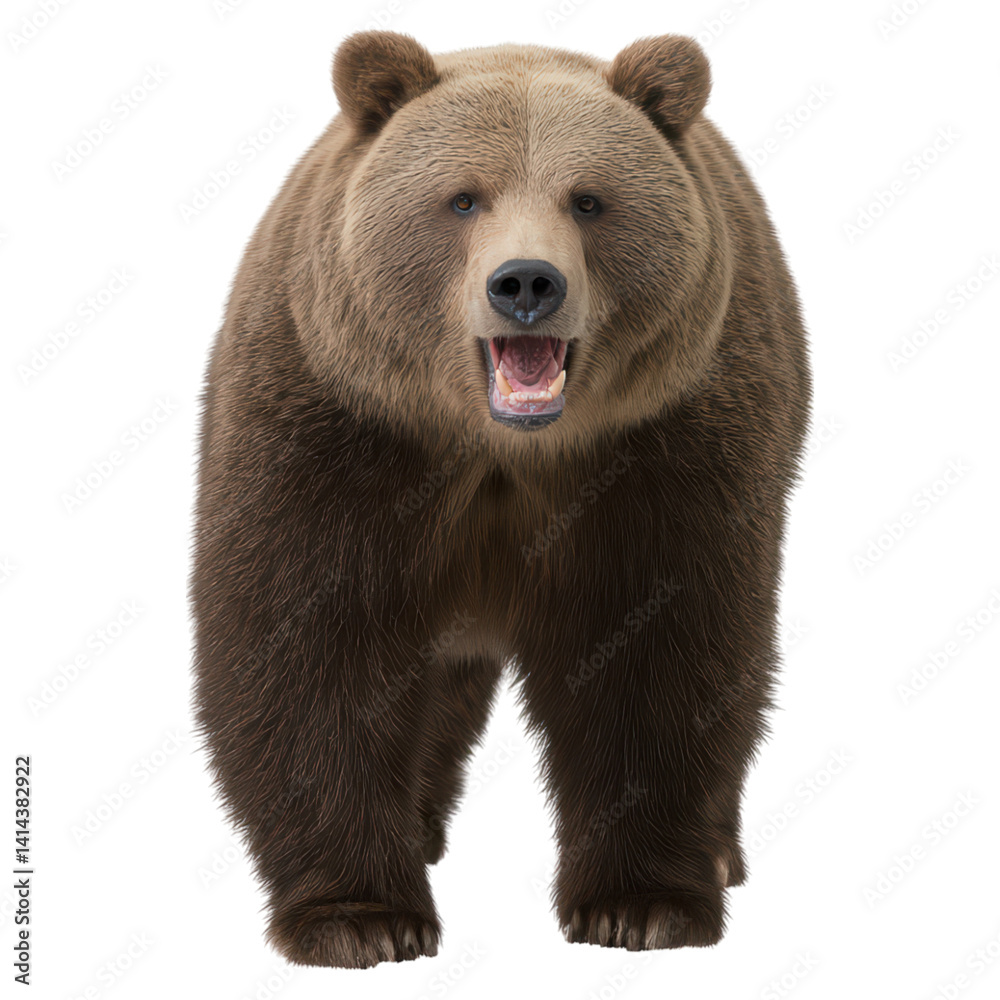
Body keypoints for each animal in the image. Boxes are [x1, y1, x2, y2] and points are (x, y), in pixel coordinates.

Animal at [191, 30, 811, 968]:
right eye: (462, 198)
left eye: (589, 199)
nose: (526, 283)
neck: (501, 449)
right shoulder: (338, 434)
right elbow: (309, 647)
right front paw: (361, 917)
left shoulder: (662, 452)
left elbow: (659, 651)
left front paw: (641, 906)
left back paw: (721, 852)